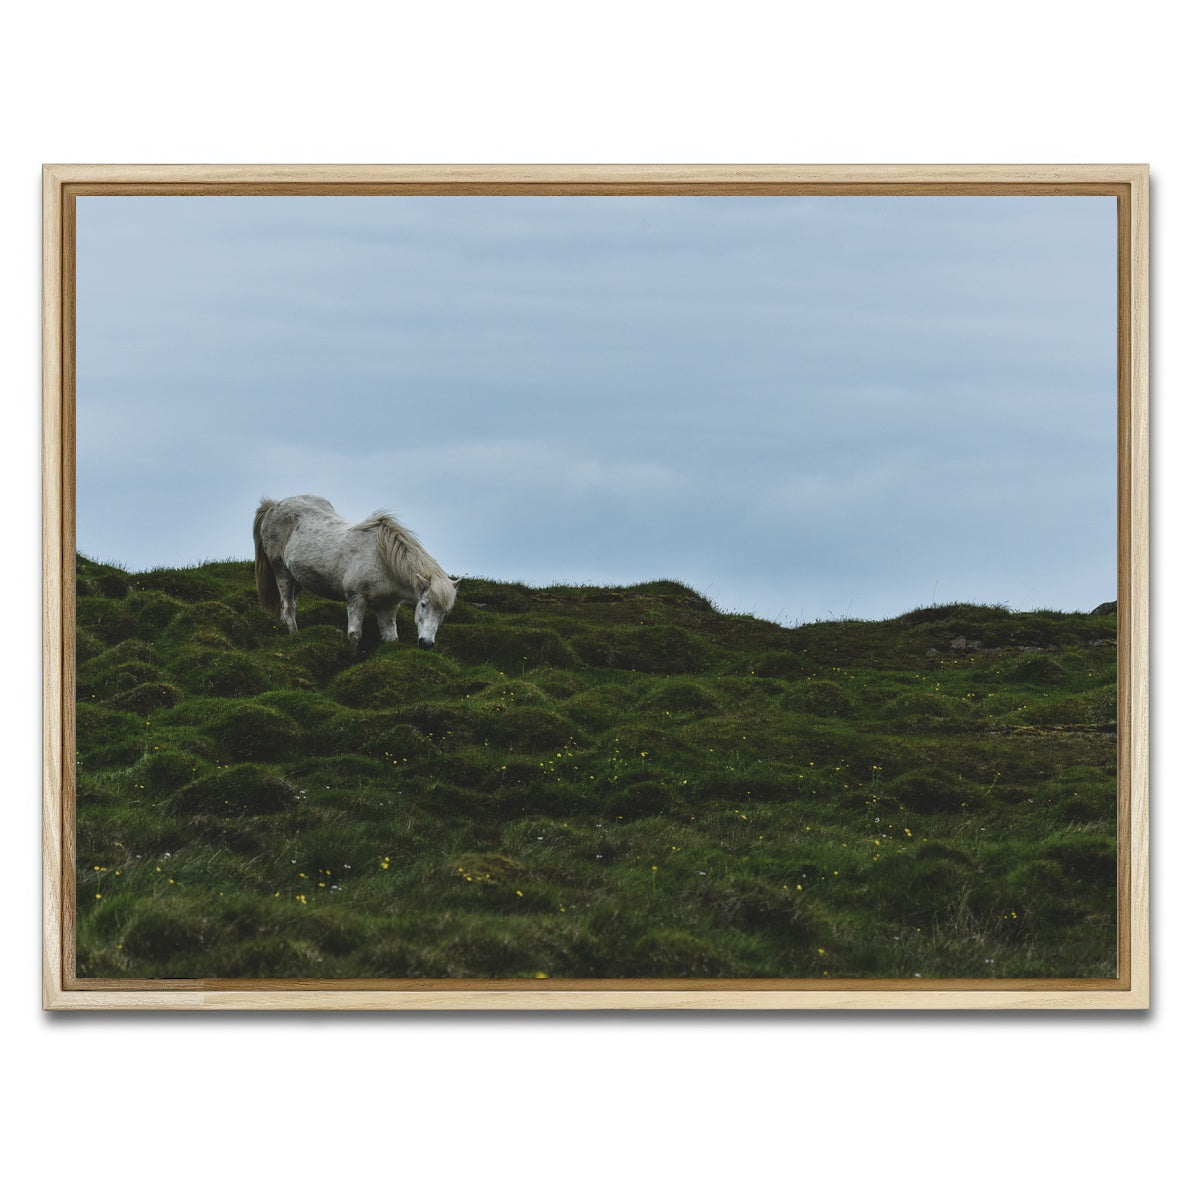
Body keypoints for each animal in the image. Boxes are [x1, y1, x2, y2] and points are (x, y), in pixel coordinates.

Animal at [253, 495, 459, 648]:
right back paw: (294, 635)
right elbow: (354, 635)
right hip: (281, 571)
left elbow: (391, 638)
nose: (426, 643)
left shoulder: (388, 606)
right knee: (288, 606)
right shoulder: (356, 598)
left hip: (297, 578)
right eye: (423, 604)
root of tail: (273, 506)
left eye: (445, 613)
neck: (383, 561)